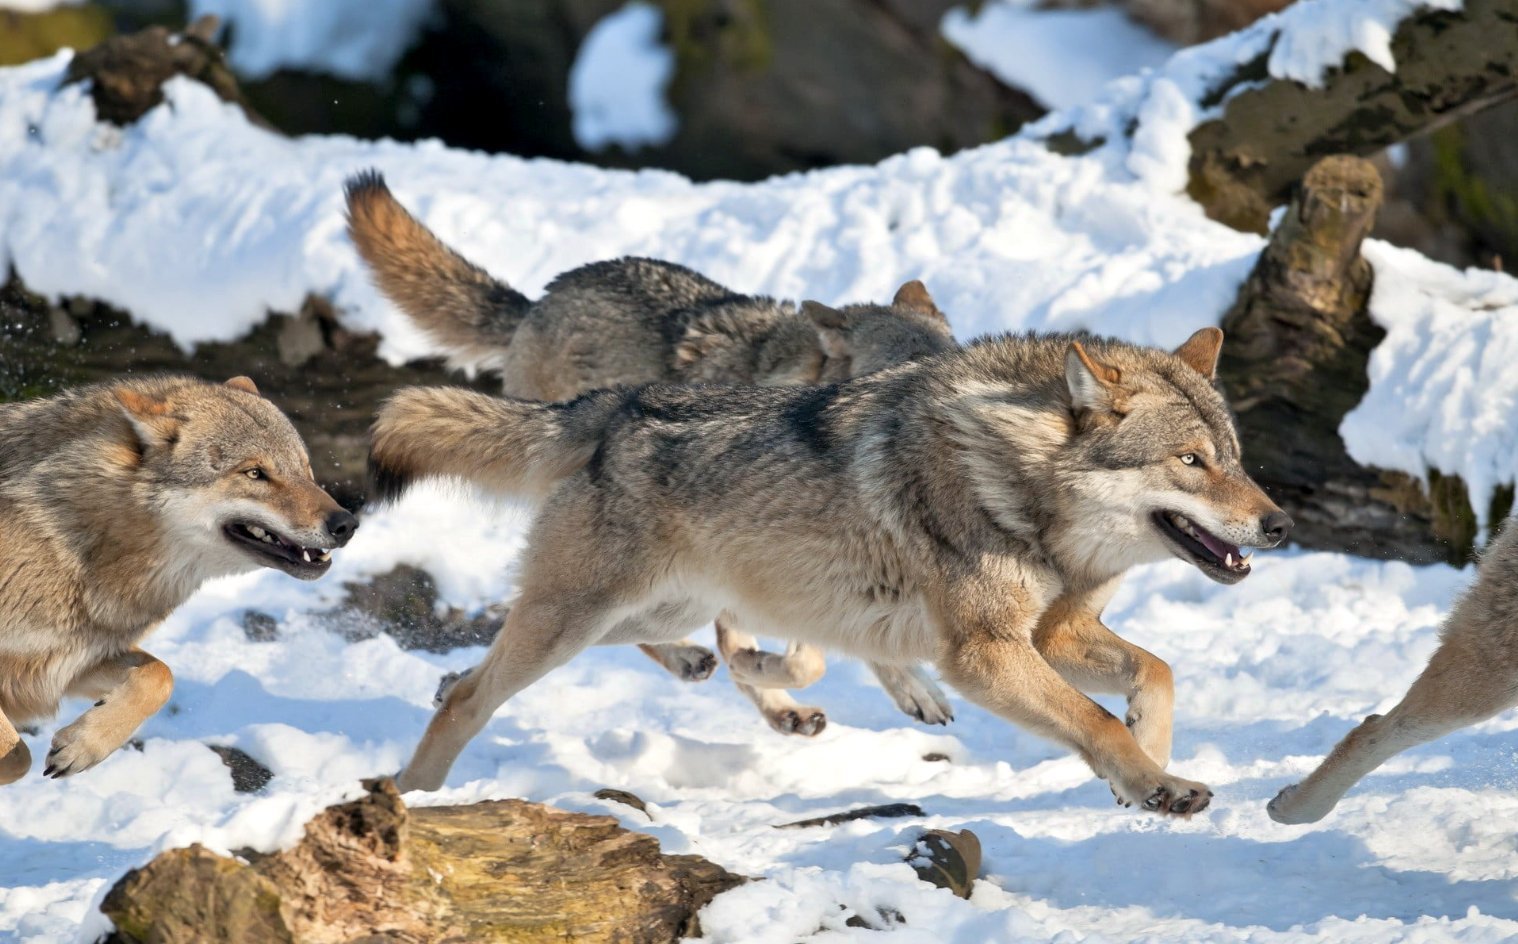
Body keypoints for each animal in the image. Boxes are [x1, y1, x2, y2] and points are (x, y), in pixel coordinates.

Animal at [0, 377, 358, 783]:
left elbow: (161, 676)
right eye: (255, 473)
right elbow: (17, 757)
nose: (346, 524)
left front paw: (83, 746)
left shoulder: (70, 664)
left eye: (304, 468)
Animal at [370, 327, 1293, 813]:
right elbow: (1095, 721)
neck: (1024, 488)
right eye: (1190, 461)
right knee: (469, 694)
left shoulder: (1056, 632)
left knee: (663, 648)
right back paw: (413, 797)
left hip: (650, 609)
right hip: (577, 619)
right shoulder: (985, 653)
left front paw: (1152, 769)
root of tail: (615, 405)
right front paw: (1155, 781)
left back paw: (730, 674)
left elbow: (1157, 675)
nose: (1280, 525)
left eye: (1237, 460)